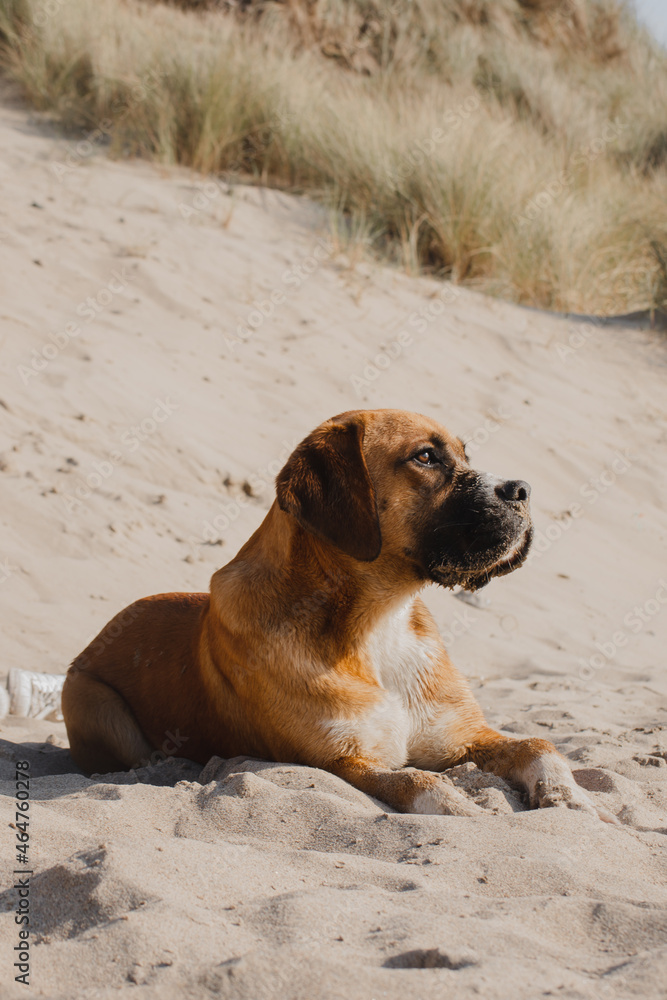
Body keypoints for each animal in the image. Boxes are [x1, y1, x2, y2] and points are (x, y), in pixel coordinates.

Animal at [62, 410, 604, 816]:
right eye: (426, 457)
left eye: (466, 455)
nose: (522, 490)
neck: (379, 622)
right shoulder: (346, 761)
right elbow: (419, 783)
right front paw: (466, 811)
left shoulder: (461, 738)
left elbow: (539, 745)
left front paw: (572, 798)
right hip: (89, 701)